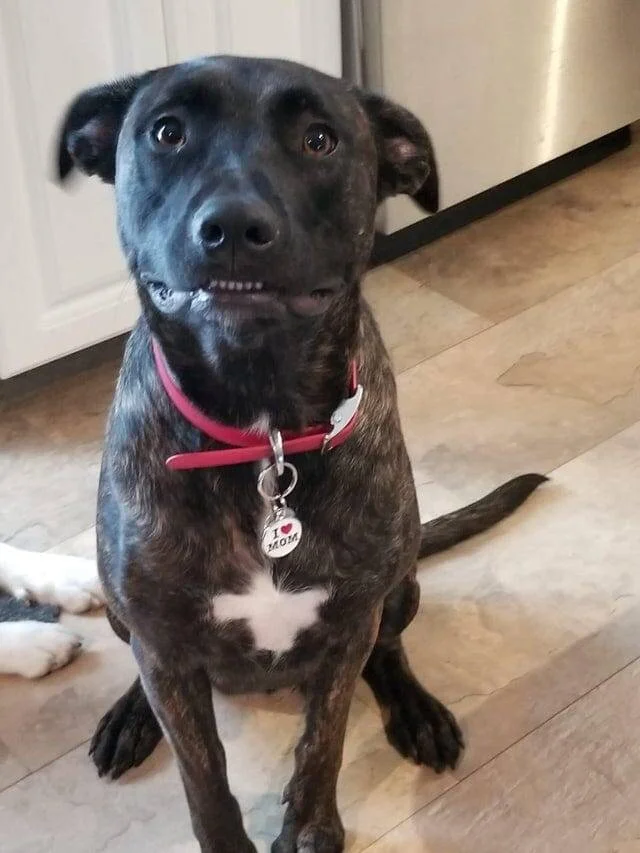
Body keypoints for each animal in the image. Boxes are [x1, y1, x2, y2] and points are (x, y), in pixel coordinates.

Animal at [55, 56, 545, 853]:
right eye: (166, 132)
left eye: (321, 140)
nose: (232, 226)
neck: (264, 428)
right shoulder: (164, 644)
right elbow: (203, 777)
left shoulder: (349, 625)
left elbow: (325, 744)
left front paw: (312, 829)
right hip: (129, 618)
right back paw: (131, 714)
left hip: (398, 586)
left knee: (390, 648)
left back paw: (416, 709)